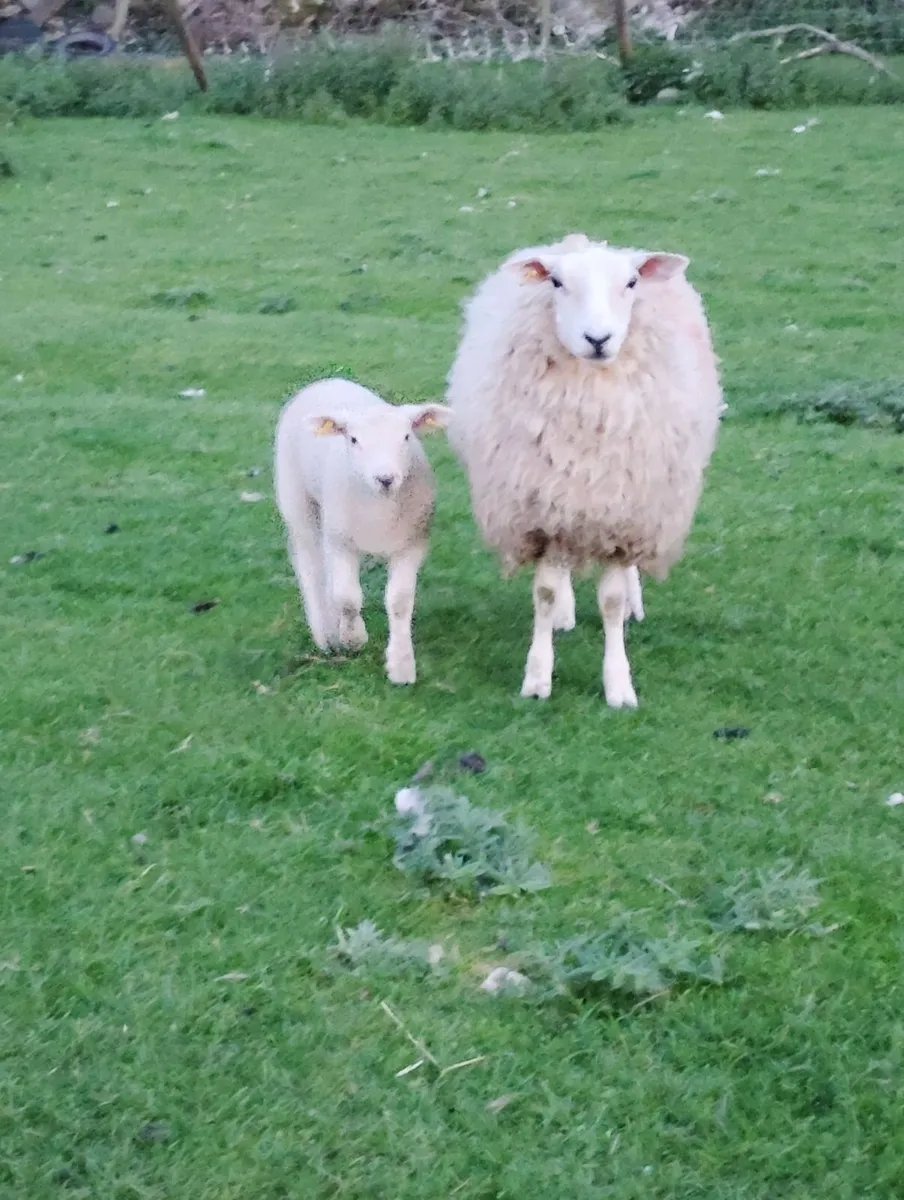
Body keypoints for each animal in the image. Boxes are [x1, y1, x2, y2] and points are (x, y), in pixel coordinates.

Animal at [274, 379, 451, 685]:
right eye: (354, 440)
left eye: (406, 436)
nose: (386, 479)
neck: (379, 510)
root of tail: (328, 380)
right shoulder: (341, 542)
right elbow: (347, 597)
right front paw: (353, 639)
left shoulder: (411, 544)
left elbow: (399, 601)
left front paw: (401, 665)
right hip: (297, 500)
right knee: (310, 564)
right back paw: (325, 634)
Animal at [445, 233, 723, 706]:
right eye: (556, 282)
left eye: (631, 283)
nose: (598, 338)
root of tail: (581, 240)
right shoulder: (544, 512)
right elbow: (544, 592)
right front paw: (537, 677)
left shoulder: (623, 517)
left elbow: (610, 600)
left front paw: (619, 685)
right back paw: (565, 614)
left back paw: (632, 606)